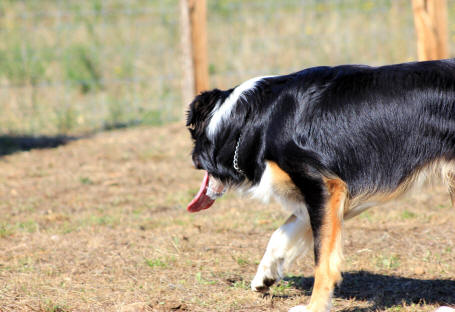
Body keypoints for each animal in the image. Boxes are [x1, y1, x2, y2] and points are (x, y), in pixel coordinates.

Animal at [185, 59, 455, 310]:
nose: (193, 160)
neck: (249, 121)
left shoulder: (324, 186)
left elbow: (323, 261)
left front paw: (314, 307)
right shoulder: (323, 199)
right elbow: (281, 233)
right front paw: (265, 276)